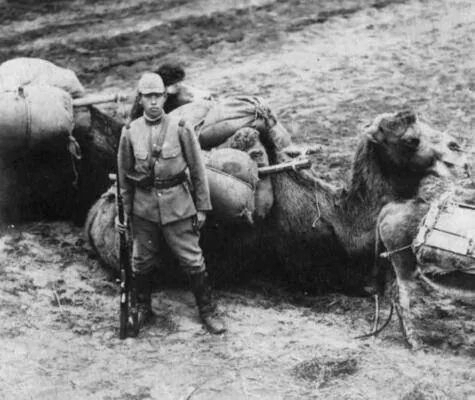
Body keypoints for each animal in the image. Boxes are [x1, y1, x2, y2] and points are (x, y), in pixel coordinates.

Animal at [85, 108, 464, 292]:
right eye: (411, 139)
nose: (457, 150)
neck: (340, 220)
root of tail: (95, 215)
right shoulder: (309, 271)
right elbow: (365, 286)